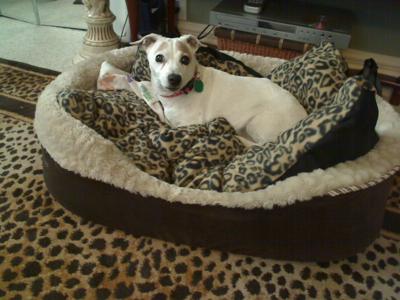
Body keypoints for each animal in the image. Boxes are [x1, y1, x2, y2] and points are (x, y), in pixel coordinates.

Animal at [97, 33, 306, 144]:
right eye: (159, 58)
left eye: (185, 59)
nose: (174, 78)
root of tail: (302, 115)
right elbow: (140, 86)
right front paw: (113, 79)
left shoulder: (184, 124)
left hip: (257, 124)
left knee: (258, 146)